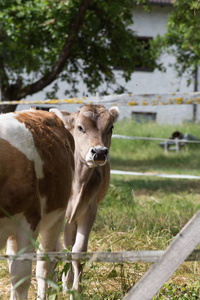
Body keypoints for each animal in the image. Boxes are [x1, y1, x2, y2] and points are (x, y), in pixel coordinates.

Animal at [50, 105, 119, 292]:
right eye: (80, 127)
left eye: (110, 128)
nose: (99, 152)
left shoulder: (89, 210)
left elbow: (78, 250)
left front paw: (76, 290)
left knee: (69, 244)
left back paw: (66, 283)